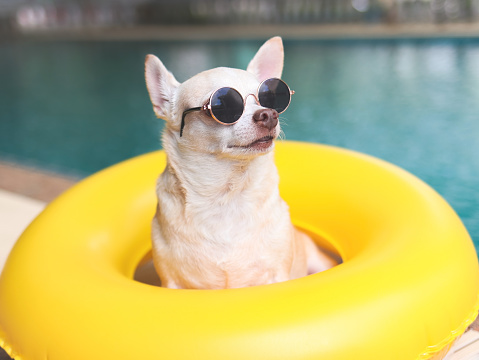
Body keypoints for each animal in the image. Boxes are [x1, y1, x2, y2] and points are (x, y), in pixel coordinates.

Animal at [144, 36, 336, 290]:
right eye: (222, 104)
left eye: (270, 96)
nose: (269, 114)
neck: (227, 196)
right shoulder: (172, 284)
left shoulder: (276, 276)